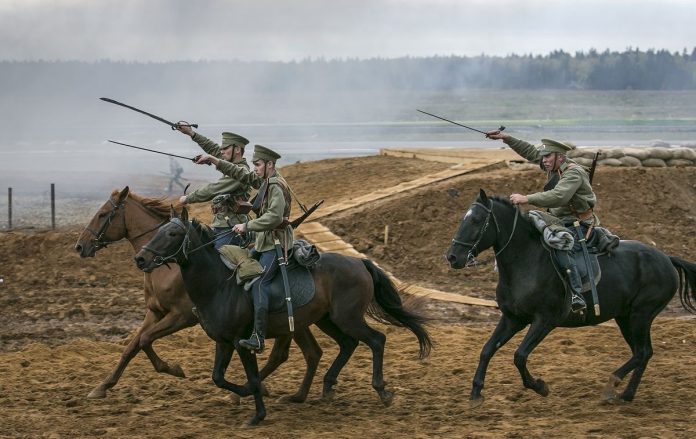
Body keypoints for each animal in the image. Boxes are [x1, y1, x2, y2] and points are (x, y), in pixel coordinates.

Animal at [75, 187, 324, 400]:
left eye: (102, 214)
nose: (80, 246)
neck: (170, 267)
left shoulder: (182, 316)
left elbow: (145, 340)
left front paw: (173, 369)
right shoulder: (154, 313)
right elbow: (132, 346)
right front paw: (103, 386)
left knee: (282, 354)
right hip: (296, 322)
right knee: (310, 353)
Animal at [133, 209, 432, 426]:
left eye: (173, 233)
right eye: (158, 231)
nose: (140, 259)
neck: (219, 286)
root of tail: (359, 262)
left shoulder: (243, 343)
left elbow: (253, 377)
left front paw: (257, 414)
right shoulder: (224, 342)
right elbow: (218, 377)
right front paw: (245, 394)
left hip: (347, 319)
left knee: (376, 340)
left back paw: (382, 391)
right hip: (326, 320)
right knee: (344, 346)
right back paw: (323, 388)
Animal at [446, 189, 696, 410]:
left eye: (477, 220)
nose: (452, 257)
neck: (526, 262)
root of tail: (666, 259)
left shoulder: (544, 321)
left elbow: (519, 356)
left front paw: (540, 386)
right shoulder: (512, 319)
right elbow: (487, 350)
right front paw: (476, 393)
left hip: (640, 316)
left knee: (642, 352)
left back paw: (612, 386)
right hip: (626, 318)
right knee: (643, 353)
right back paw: (626, 394)